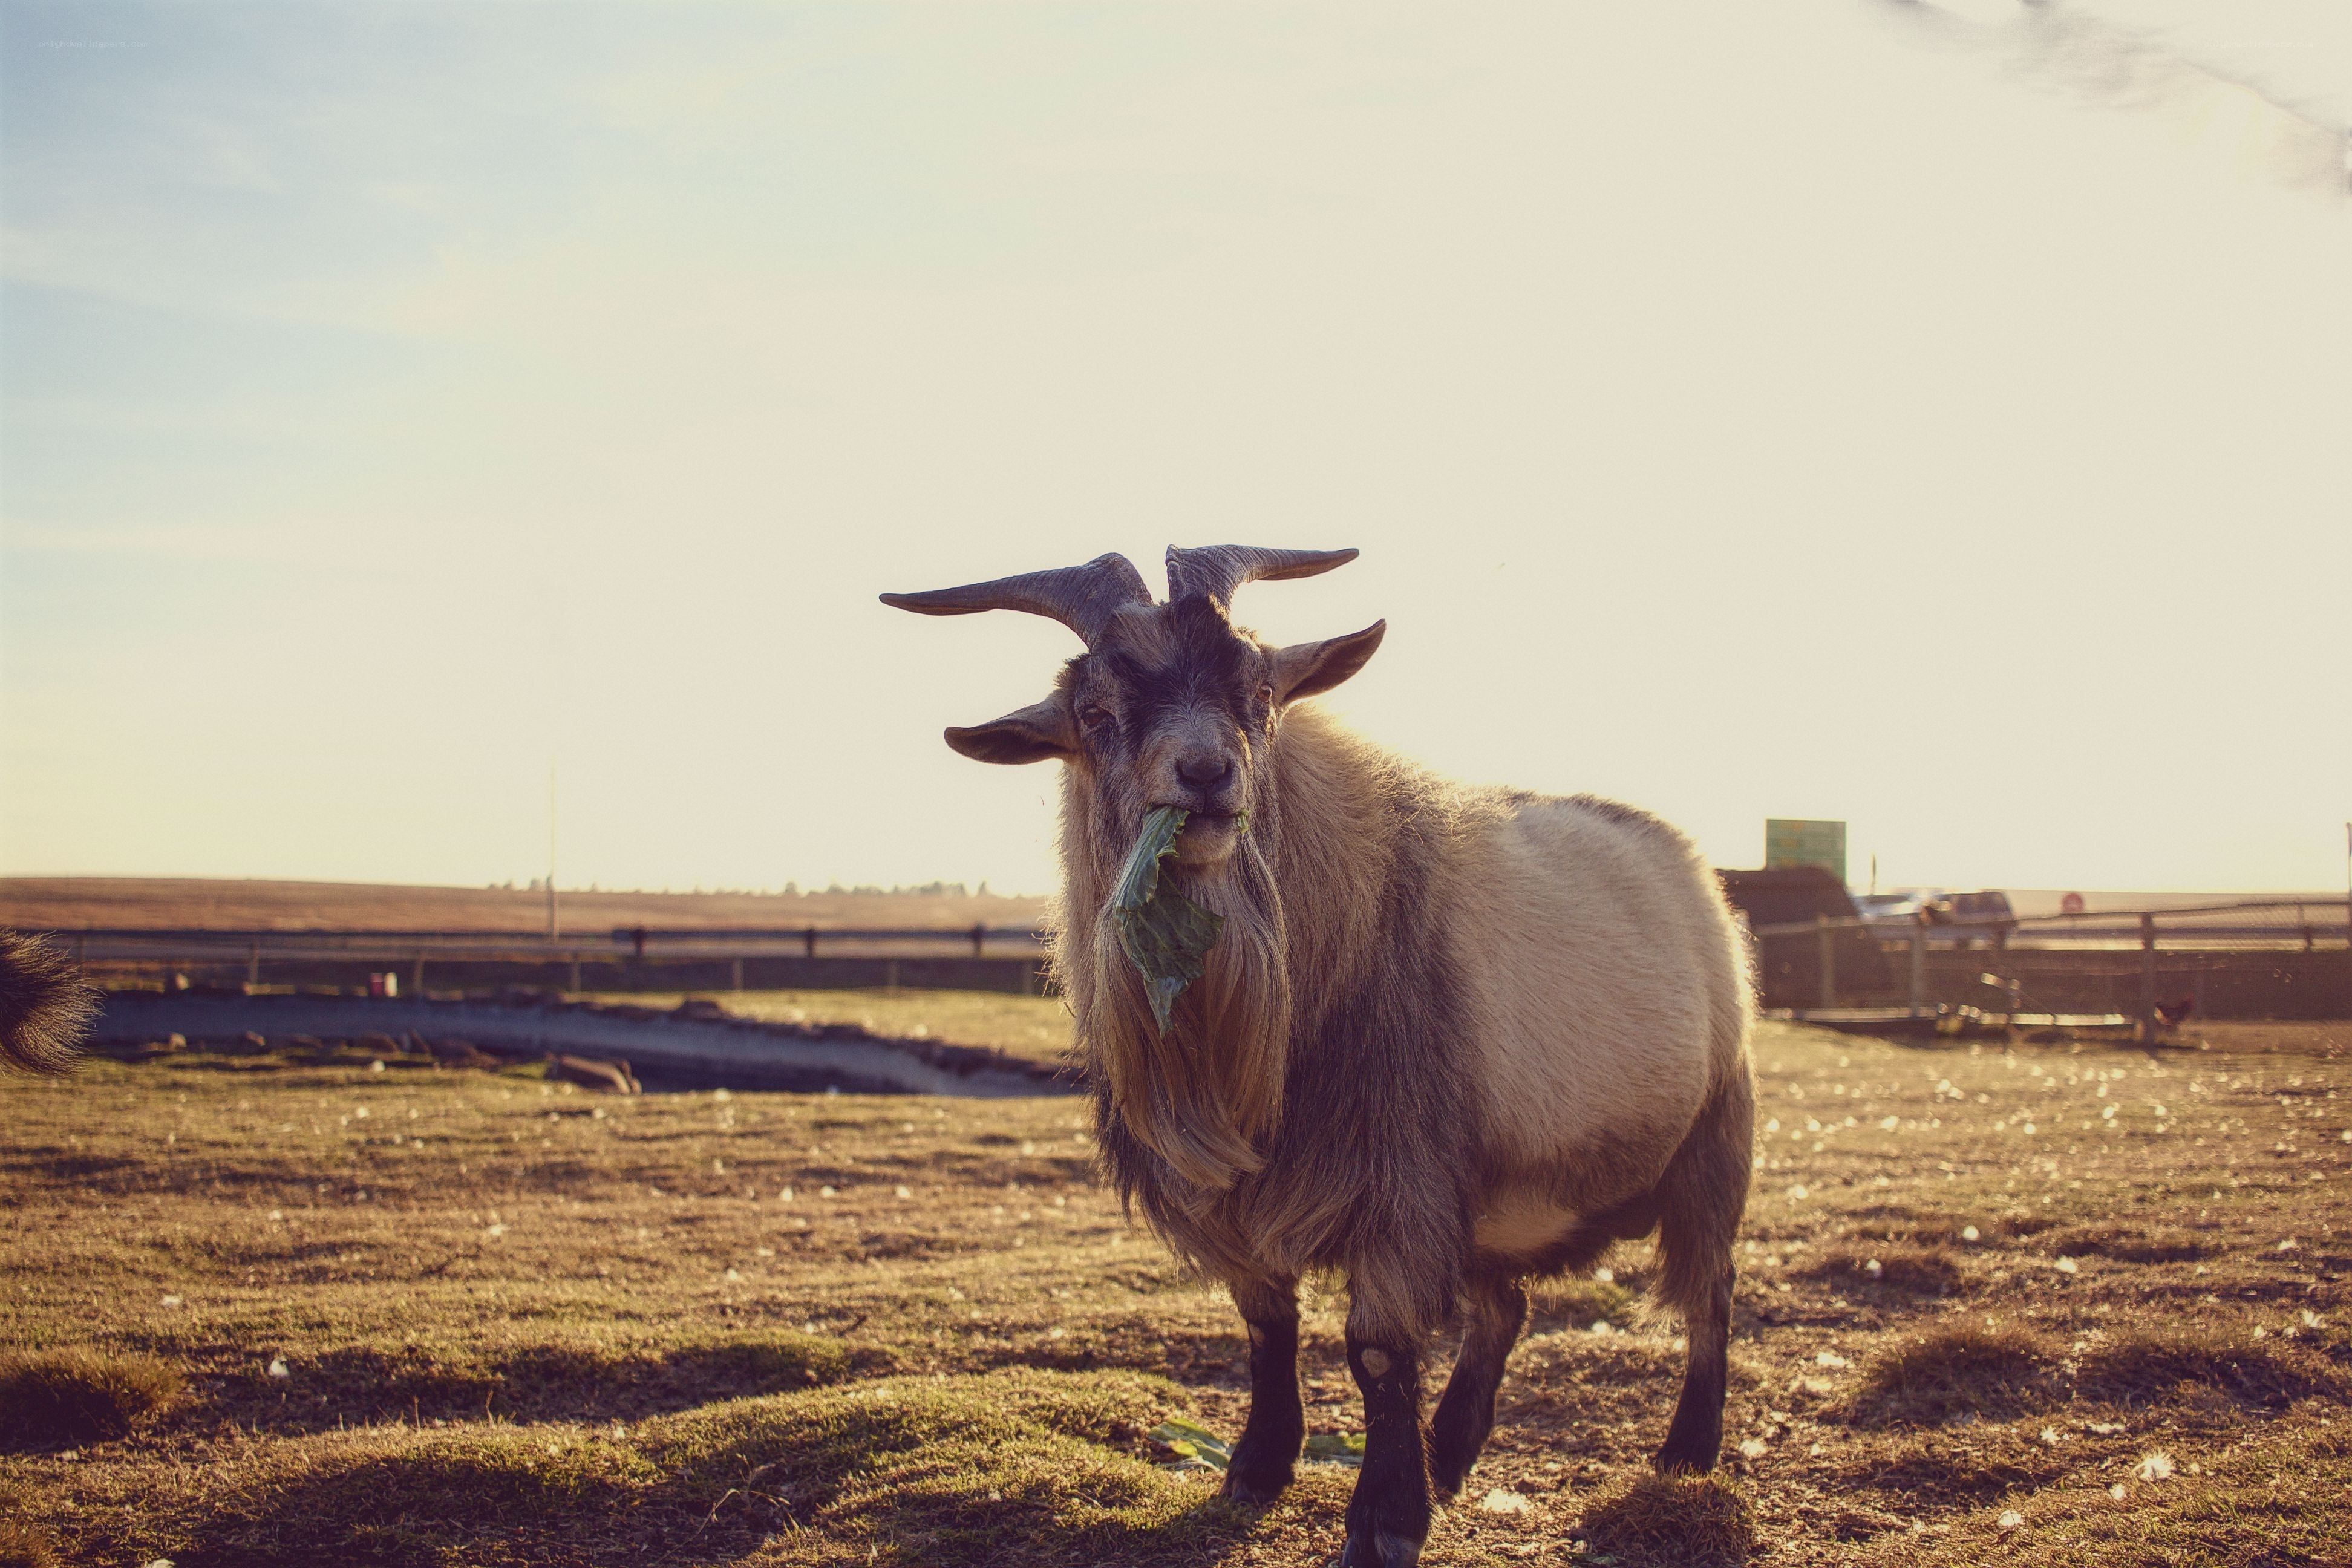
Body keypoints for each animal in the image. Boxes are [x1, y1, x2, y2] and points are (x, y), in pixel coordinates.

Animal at [885, 547, 1753, 1568]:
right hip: (1497, 1190)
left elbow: (1376, 1348)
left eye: (1260, 691)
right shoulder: (1257, 1199)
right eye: (1095, 712)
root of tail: (1689, 865)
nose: (1207, 772)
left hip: (1711, 1141)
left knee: (1710, 1292)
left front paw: (1385, 1519)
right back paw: (1453, 1452)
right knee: (1505, 1309)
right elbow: (1267, 1324)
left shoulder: (1401, 1179)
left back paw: (1687, 1449)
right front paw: (1258, 1469)